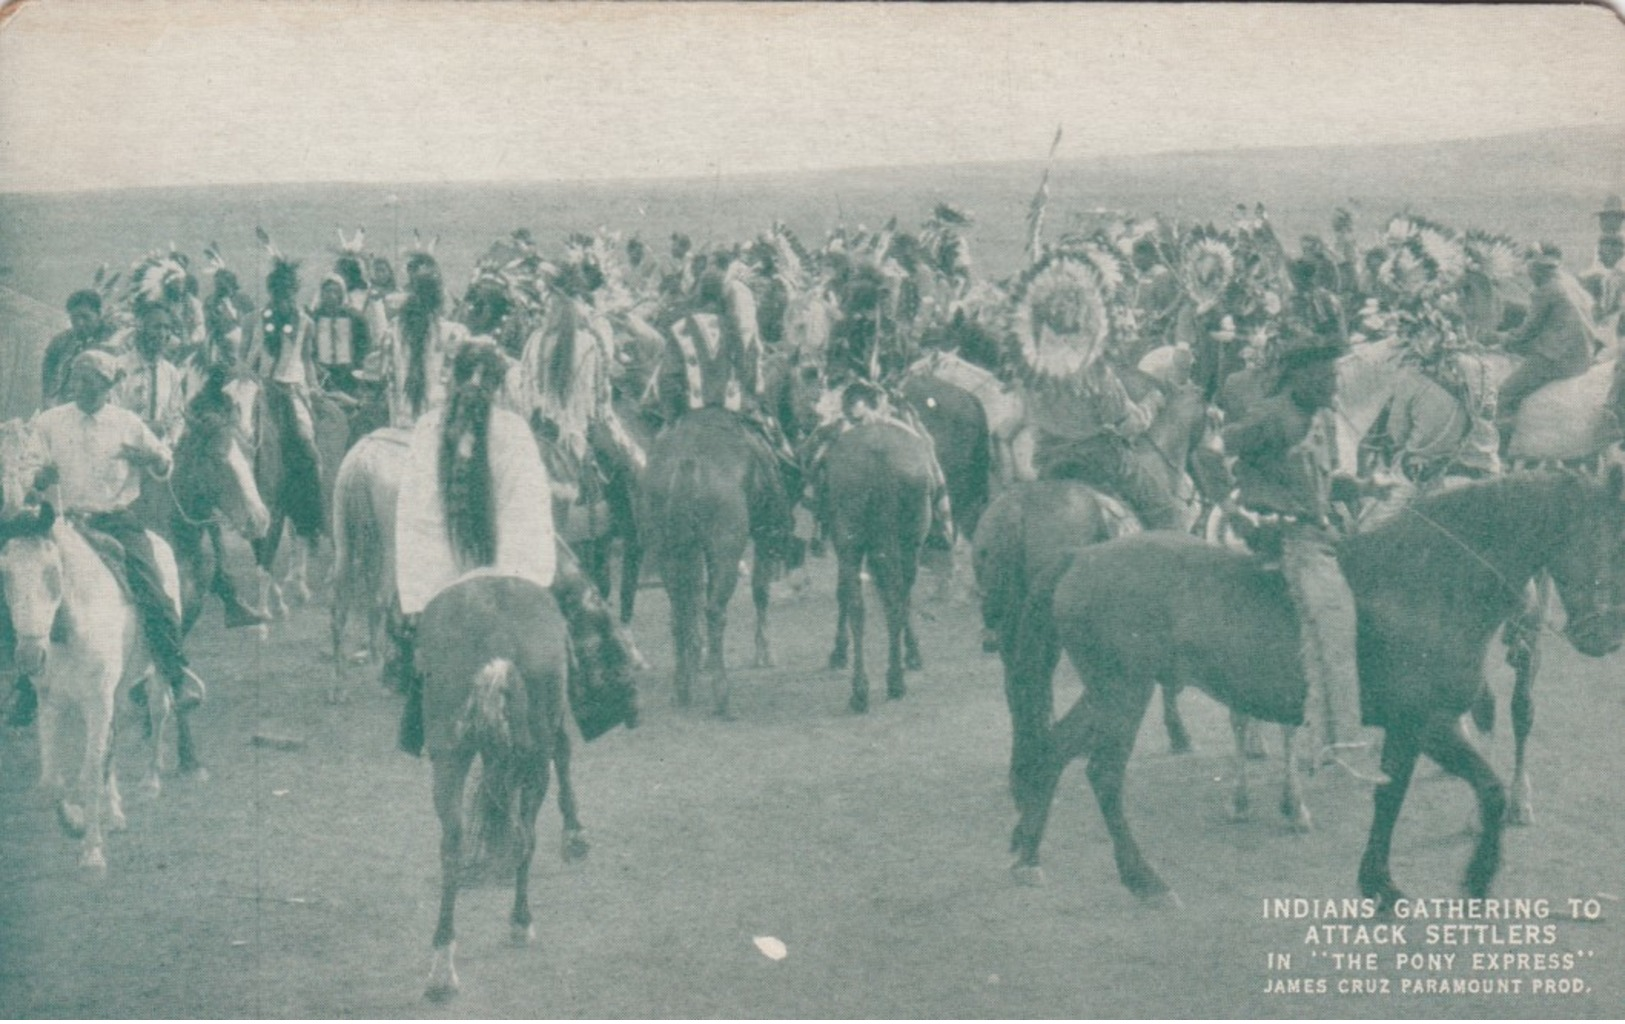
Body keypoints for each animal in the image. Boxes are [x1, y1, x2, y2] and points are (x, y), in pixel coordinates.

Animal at [0, 507, 179, 877]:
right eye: (5, 573)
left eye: (52, 572)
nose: (28, 657)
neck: (70, 629)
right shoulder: (51, 704)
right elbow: (53, 779)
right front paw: (74, 821)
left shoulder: (97, 702)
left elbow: (89, 772)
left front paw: (92, 851)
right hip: (115, 695)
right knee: (112, 741)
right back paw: (114, 812)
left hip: (153, 678)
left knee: (157, 715)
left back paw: (150, 782)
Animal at [419, 578, 598, 1001]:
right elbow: (565, 750)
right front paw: (575, 835)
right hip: (533, 758)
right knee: (524, 836)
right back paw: (520, 921)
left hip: (449, 757)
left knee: (452, 846)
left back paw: (442, 967)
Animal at [637, 404, 789, 718]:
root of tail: (687, 462)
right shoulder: (763, 539)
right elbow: (760, 591)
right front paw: (764, 653)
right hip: (725, 551)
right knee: (715, 611)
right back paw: (721, 693)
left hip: (670, 553)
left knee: (680, 614)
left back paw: (682, 687)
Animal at [825, 416, 942, 715]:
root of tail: (879, 455)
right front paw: (912, 653)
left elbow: (844, 594)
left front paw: (839, 652)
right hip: (907, 540)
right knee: (895, 599)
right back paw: (892, 680)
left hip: (851, 539)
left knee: (860, 603)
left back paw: (863, 690)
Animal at [994, 468, 1625, 910]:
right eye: (1613, 547)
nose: (1605, 636)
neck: (1429, 580)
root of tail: (1080, 555)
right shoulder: (1429, 722)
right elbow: (1488, 791)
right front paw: (1475, 878)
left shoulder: (1407, 728)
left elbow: (1390, 797)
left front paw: (1379, 884)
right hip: (1123, 693)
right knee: (1102, 773)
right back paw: (1143, 879)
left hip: (1109, 692)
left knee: (1054, 749)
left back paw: (1029, 853)